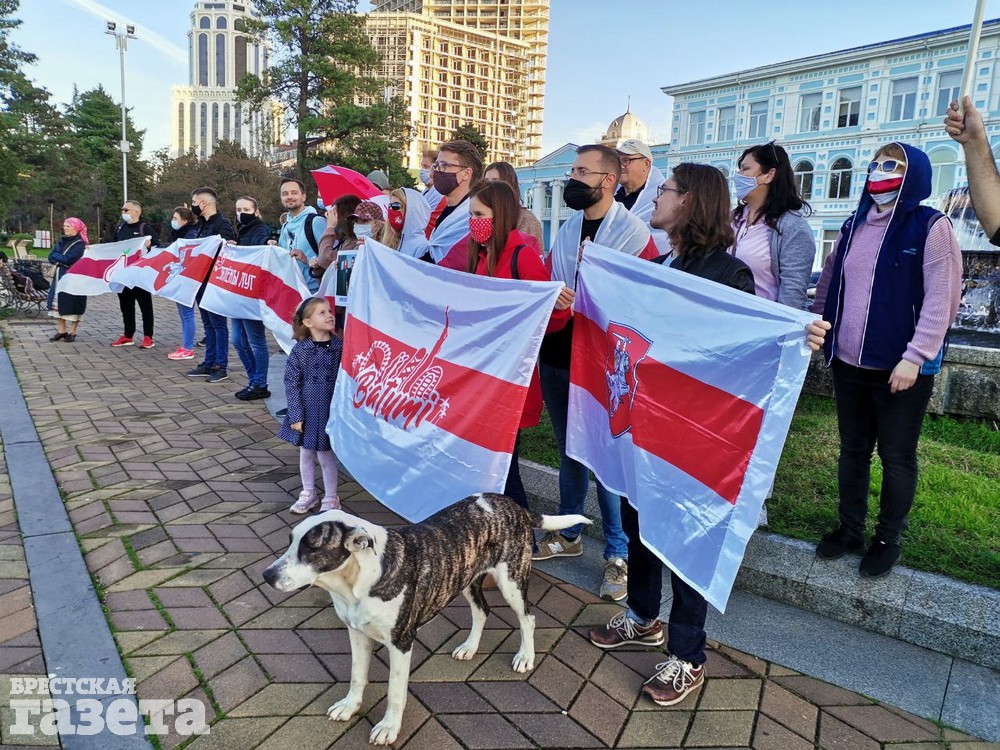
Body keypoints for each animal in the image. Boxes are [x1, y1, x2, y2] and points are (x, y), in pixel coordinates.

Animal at [262, 494, 588, 748]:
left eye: (313, 547)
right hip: (466, 578)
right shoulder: (356, 633)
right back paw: (470, 647)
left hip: (511, 581)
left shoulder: (401, 643)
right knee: (481, 611)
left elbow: (395, 691)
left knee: (527, 618)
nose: (267, 575)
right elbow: (357, 675)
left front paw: (389, 728)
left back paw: (525, 657)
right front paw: (350, 706)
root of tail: (511, 503)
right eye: (290, 541)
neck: (355, 582)